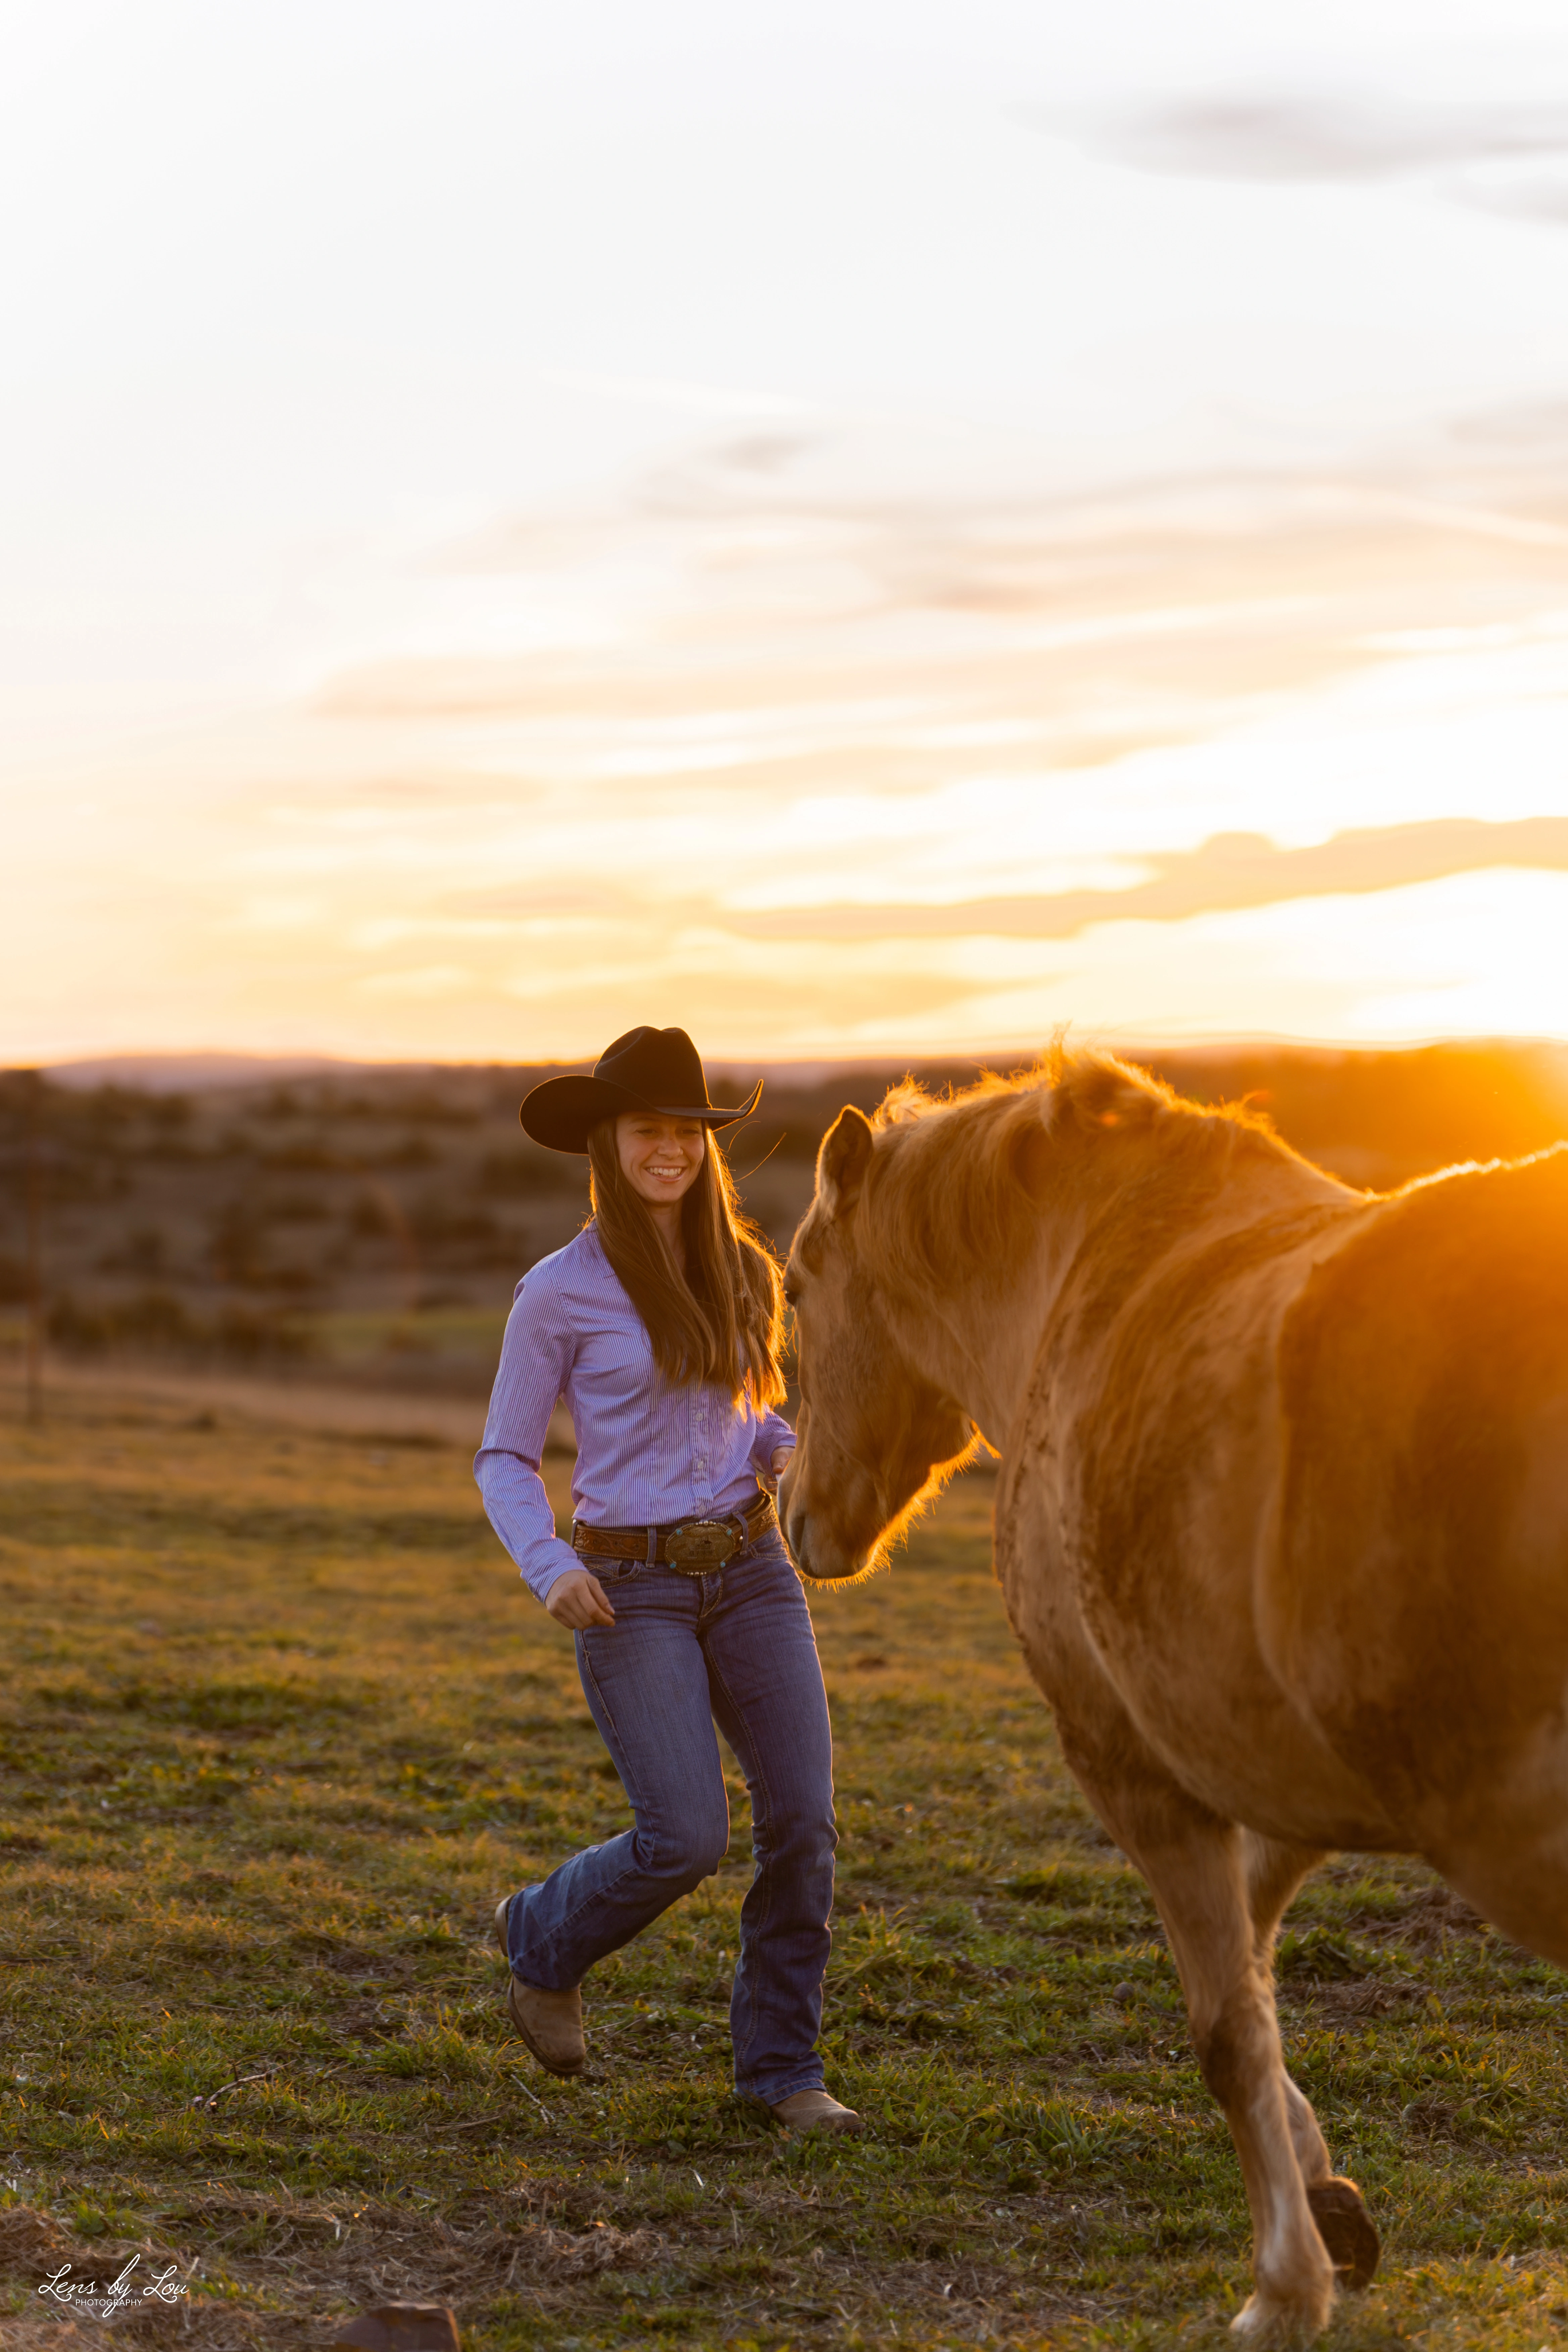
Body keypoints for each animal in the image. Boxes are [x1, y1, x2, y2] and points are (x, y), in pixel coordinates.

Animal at [779, 1048, 1568, 2343]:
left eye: (794, 1290)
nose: (797, 1515)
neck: (1082, 1273)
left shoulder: (1134, 1765)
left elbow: (1226, 2026)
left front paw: (1285, 2285)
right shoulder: (1275, 1764)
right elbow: (1253, 1962)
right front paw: (1325, 2189)